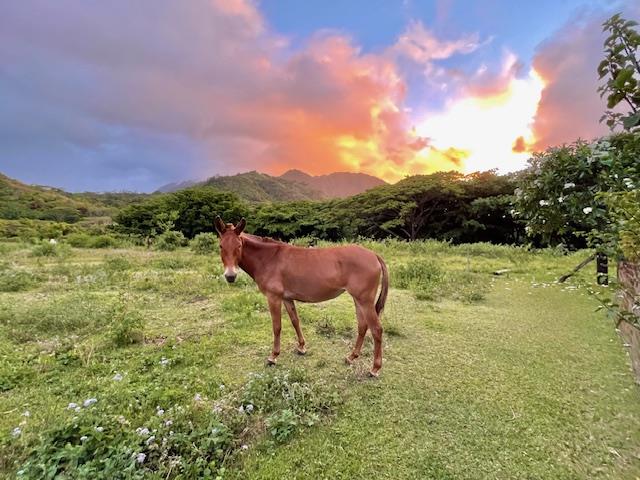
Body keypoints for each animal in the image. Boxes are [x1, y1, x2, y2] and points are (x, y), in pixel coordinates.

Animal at [214, 216, 389, 377]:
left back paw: (375, 368)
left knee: (376, 329)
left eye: (239, 246)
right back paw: (351, 357)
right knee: (362, 326)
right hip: (358, 300)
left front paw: (273, 356)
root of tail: (374, 255)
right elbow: (295, 321)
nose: (230, 276)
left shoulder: (273, 298)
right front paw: (301, 347)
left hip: (364, 301)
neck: (269, 258)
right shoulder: (287, 298)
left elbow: (277, 327)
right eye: (221, 246)